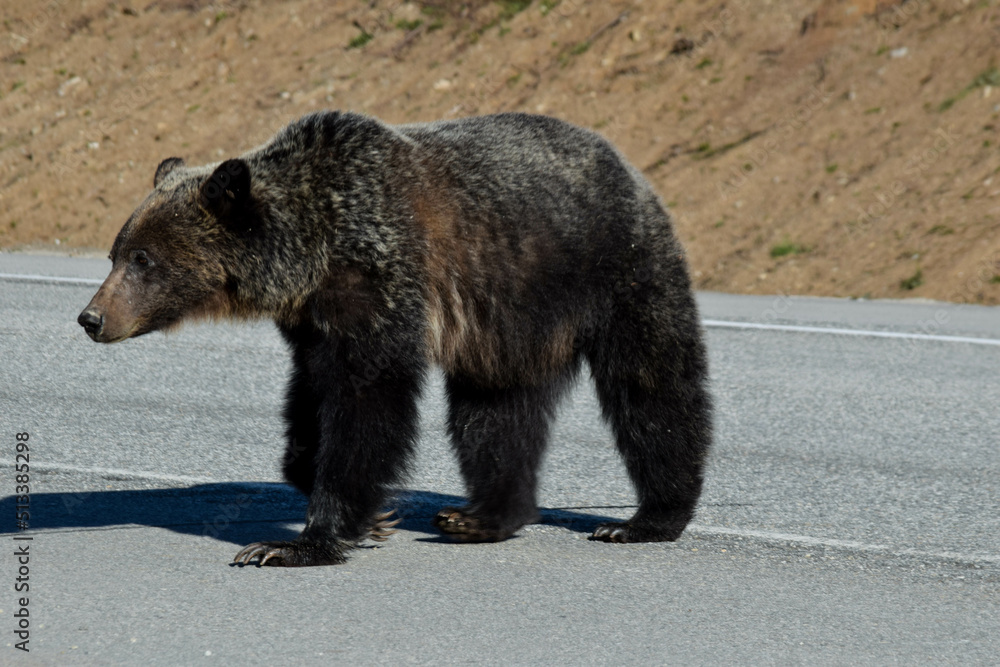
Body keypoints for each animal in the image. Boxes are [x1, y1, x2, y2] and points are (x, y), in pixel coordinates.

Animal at [78, 111, 712, 567]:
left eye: (143, 259)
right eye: (114, 253)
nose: (91, 317)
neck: (311, 252)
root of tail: (623, 161)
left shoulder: (380, 276)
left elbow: (369, 400)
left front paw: (293, 544)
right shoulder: (313, 320)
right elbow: (311, 400)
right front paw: (369, 513)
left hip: (616, 269)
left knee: (652, 385)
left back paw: (643, 519)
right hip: (505, 324)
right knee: (494, 413)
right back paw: (481, 517)